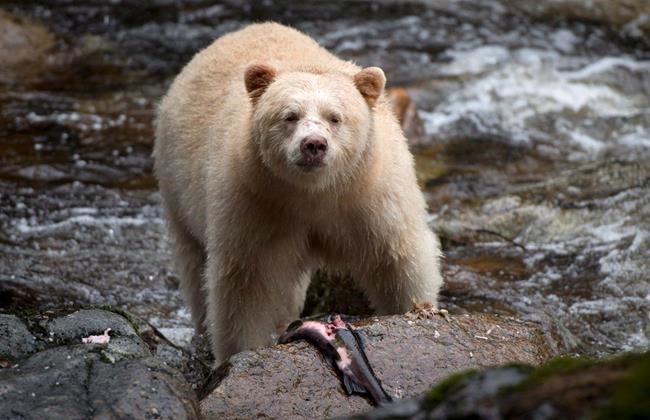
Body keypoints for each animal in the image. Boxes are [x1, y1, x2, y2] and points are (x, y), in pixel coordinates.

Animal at [153, 22, 443, 365]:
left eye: (335, 117)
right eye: (289, 116)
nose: (314, 145)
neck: (314, 192)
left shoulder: (371, 196)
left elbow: (396, 259)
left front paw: (416, 310)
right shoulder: (254, 200)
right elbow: (246, 282)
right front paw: (238, 353)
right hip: (177, 186)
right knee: (195, 265)